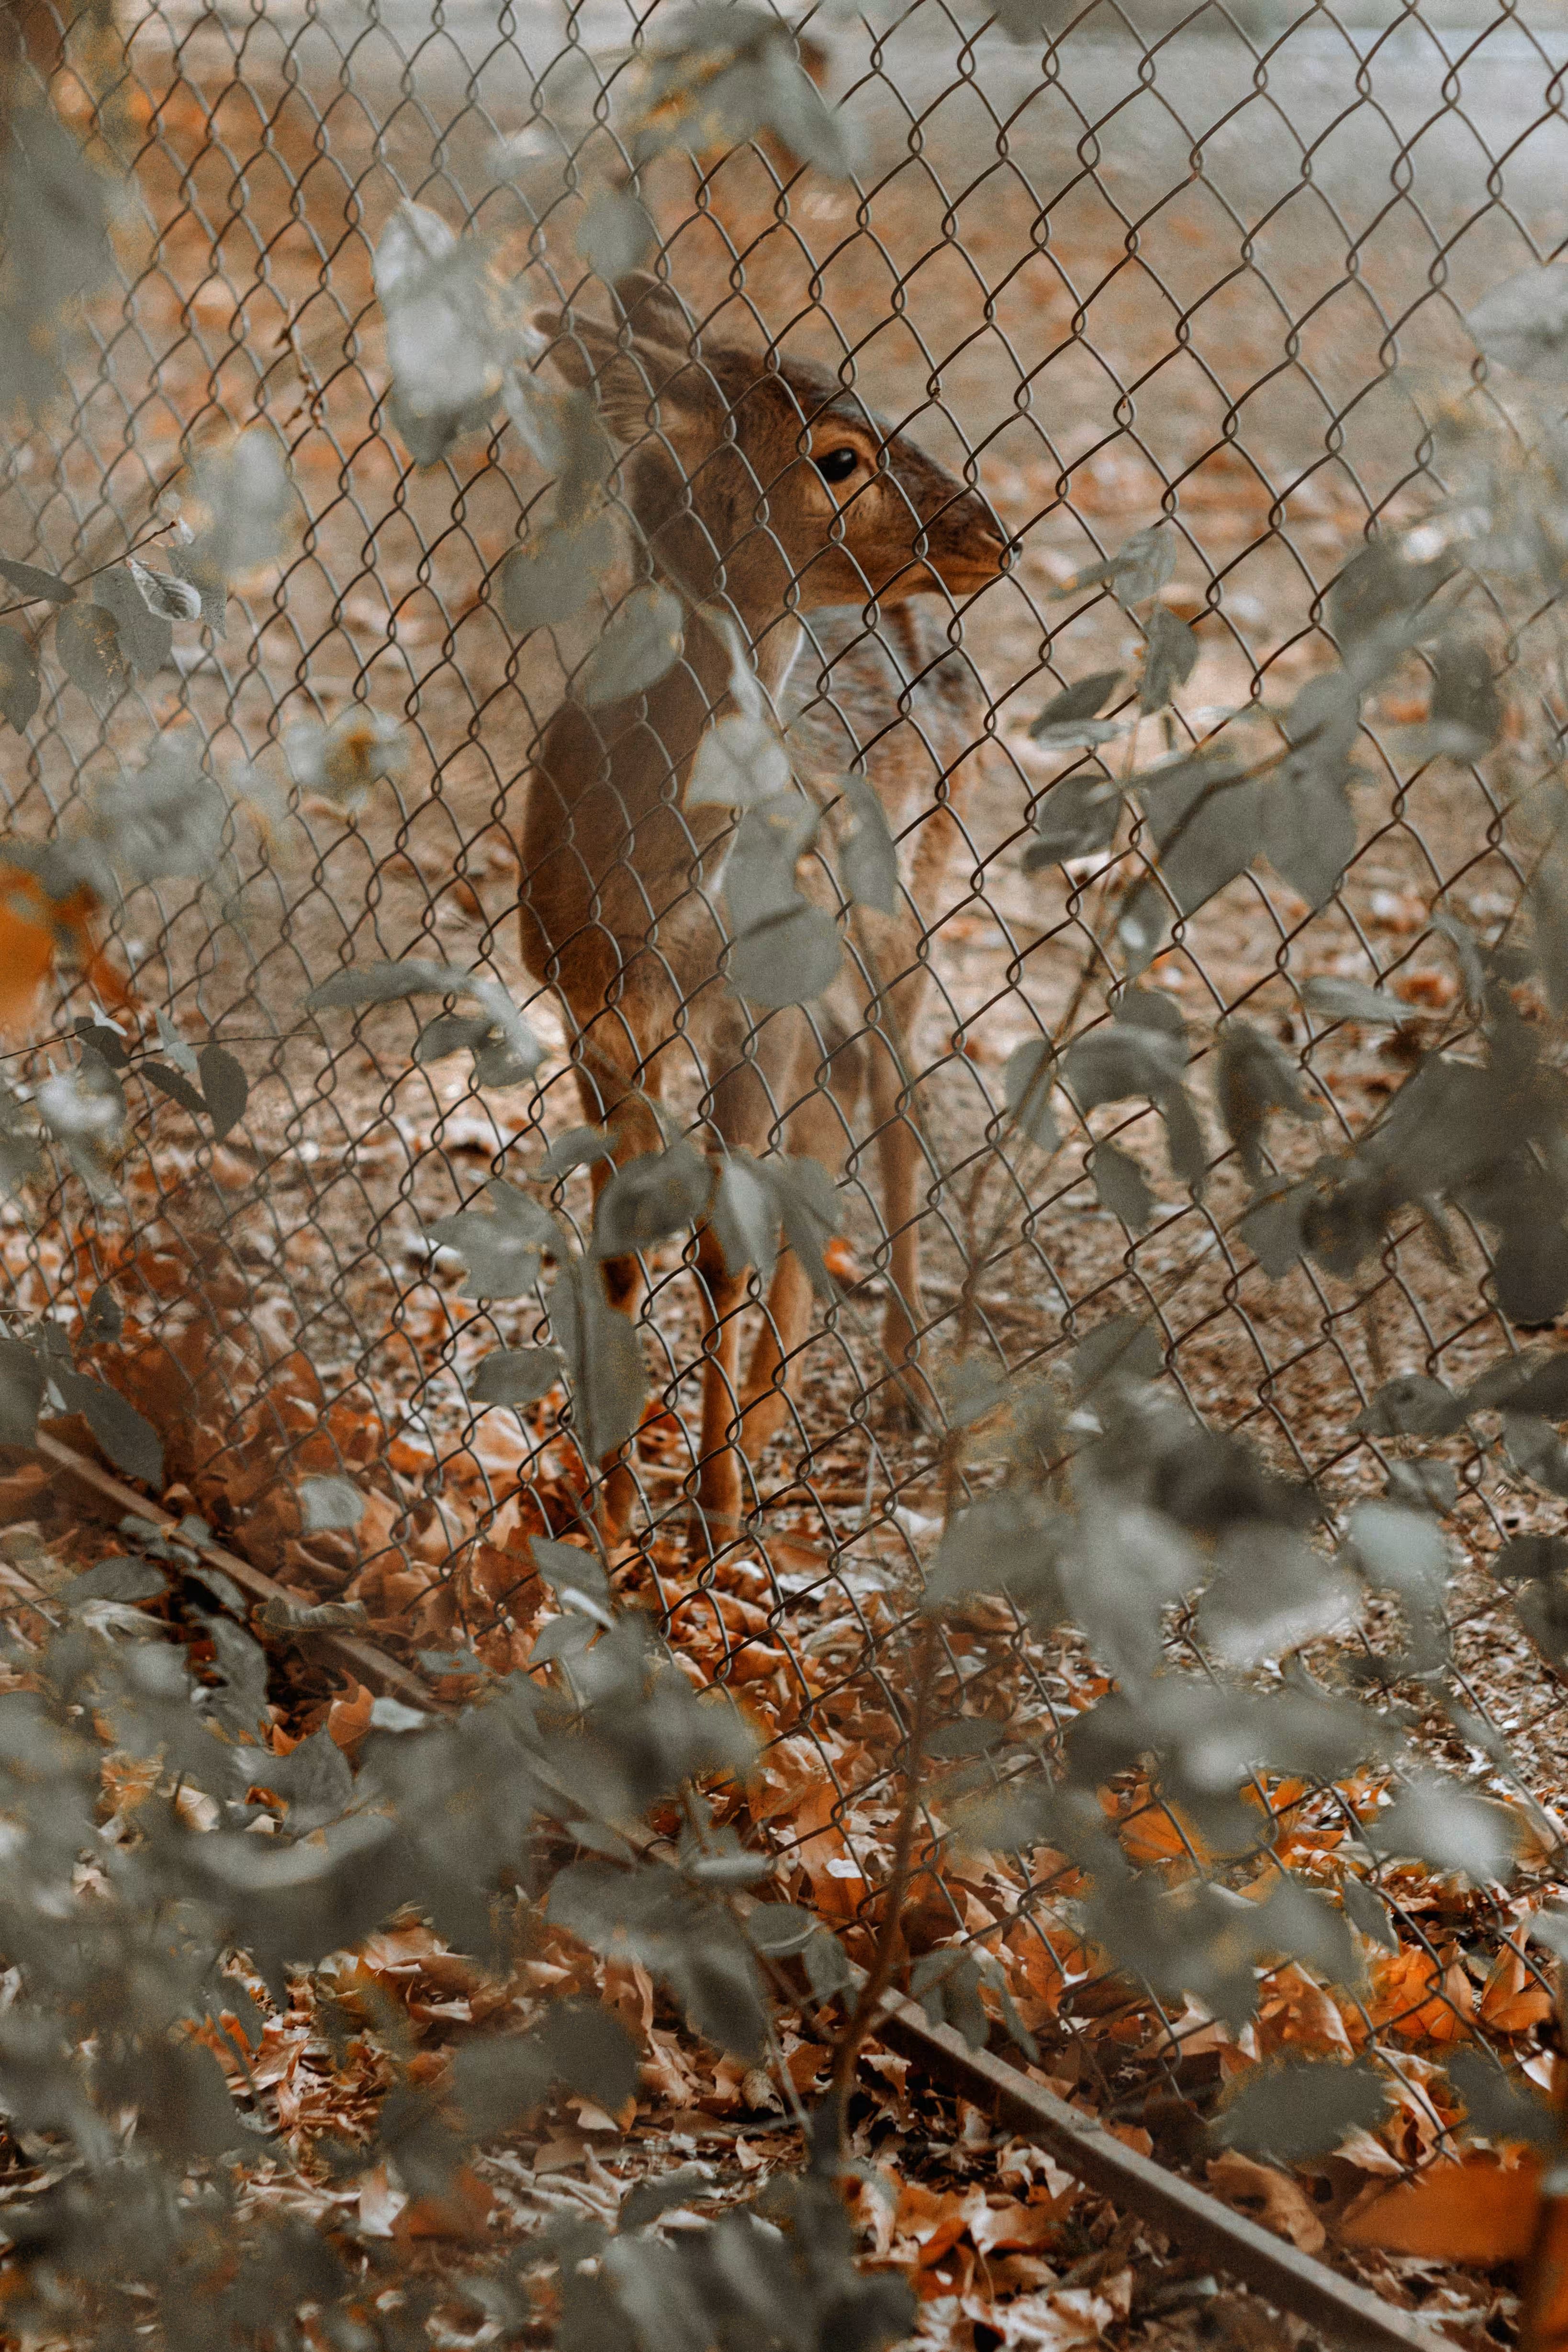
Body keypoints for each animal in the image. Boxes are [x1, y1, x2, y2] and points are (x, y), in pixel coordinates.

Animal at [516, 271, 1006, 1543]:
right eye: (838, 456)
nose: (993, 533)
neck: (648, 912)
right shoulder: (591, 1023)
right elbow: (618, 1256)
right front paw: (611, 1510)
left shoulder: (750, 1013)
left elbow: (717, 1253)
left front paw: (714, 1516)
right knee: (843, 1096)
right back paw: (791, 1402)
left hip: (909, 899)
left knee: (895, 1099)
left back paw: (906, 1387)